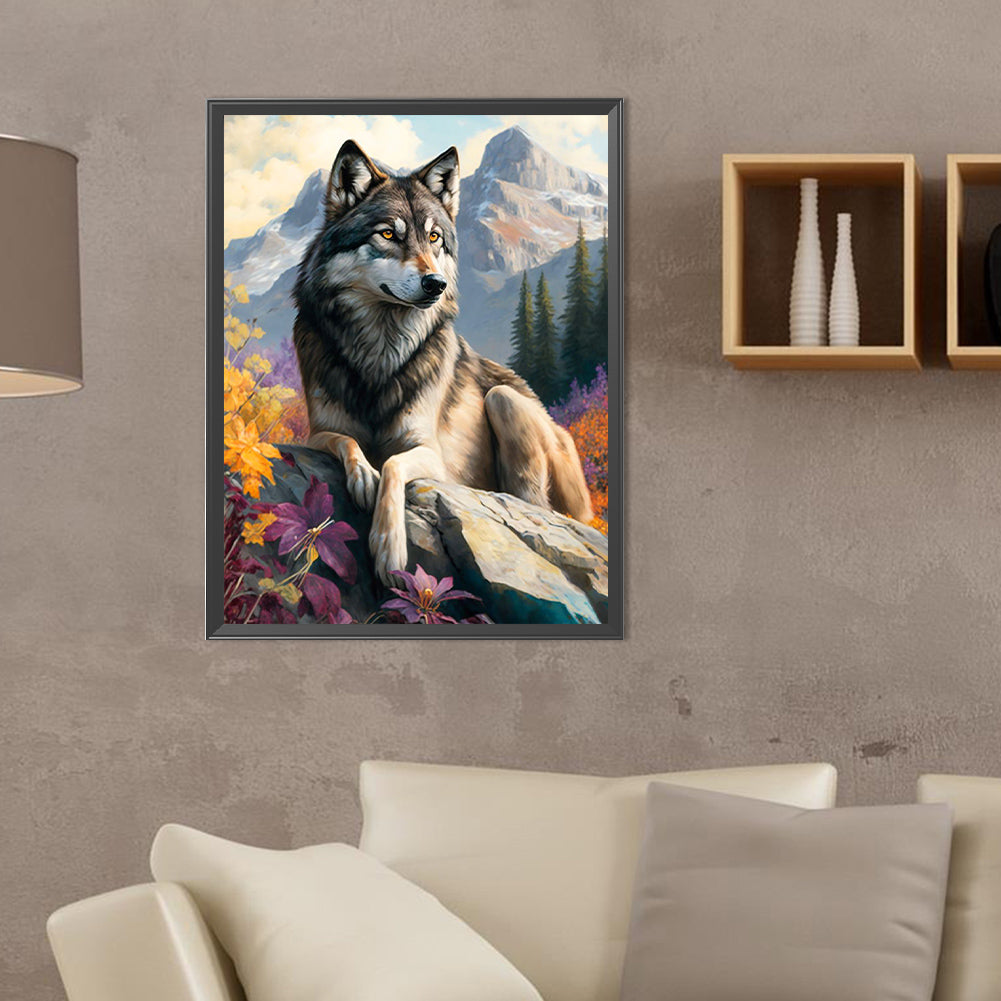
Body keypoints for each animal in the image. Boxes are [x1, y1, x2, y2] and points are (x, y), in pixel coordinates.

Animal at [293, 139, 593, 585]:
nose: (436, 283)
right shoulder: (317, 433)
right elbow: (348, 442)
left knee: (535, 505)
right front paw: (363, 474)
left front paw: (388, 548)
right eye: (388, 234)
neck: (379, 352)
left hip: (504, 400)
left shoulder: (430, 453)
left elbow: (393, 465)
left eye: (434, 237)